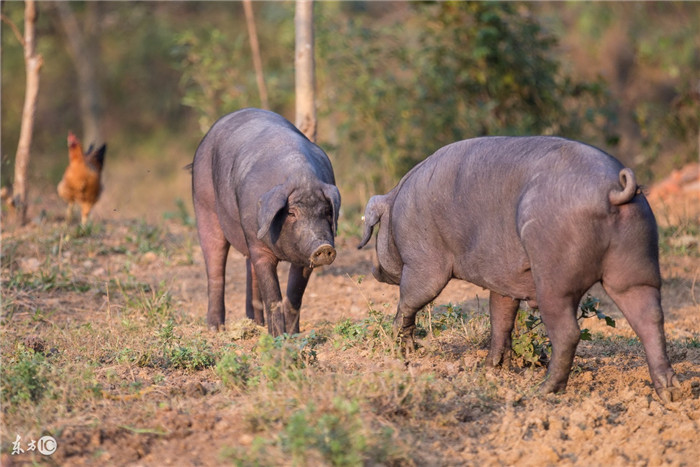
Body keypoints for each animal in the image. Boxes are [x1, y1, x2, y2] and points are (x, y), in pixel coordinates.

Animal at [190, 109, 340, 336]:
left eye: (326, 211)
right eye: (292, 213)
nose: (323, 247)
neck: (300, 176)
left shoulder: (304, 257)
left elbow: (294, 295)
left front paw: (293, 335)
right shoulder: (258, 244)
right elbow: (273, 296)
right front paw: (277, 337)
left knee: (249, 270)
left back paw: (256, 323)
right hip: (204, 205)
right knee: (215, 269)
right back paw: (216, 328)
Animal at [360, 135, 684, 402]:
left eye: (377, 230)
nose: (375, 271)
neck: (396, 204)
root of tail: (615, 189)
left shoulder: (423, 263)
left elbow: (411, 300)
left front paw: (401, 350)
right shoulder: (503, 281)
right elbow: (500, 318)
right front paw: (490, 369)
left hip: (554, 276)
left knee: (569, 332)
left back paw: (543, 391)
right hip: (637, 266)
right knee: (650, 319)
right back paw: (670, 394)